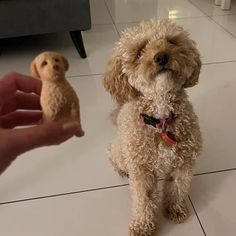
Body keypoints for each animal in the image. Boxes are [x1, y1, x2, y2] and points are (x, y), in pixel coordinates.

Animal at [104, 19, 202, 235]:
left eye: (172, 42)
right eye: (140, 51)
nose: (162, 56)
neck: (160, 119)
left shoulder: (184, 164)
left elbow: (177, 188)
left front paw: (175, 210)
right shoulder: (142, 171)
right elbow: (143, 201)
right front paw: (142, 226)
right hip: (120, 151)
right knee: (113, 156)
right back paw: (121, 170)